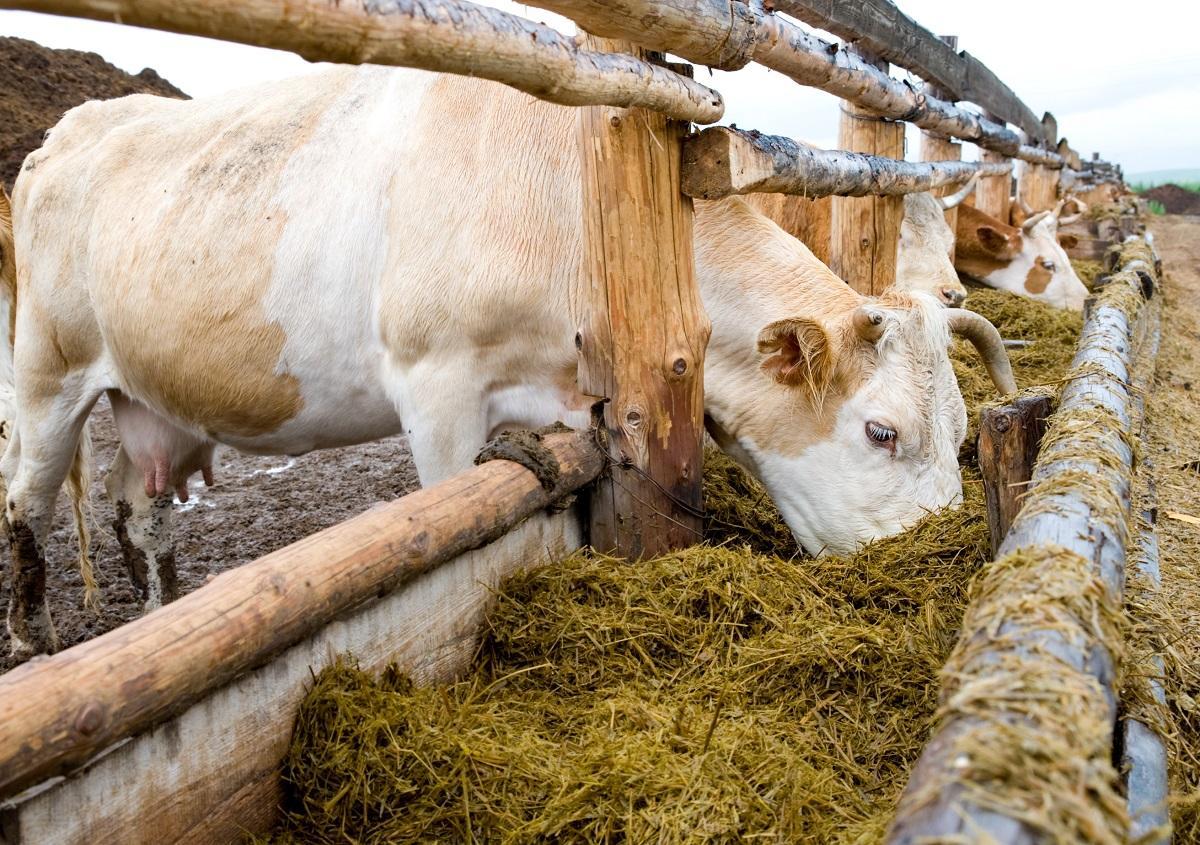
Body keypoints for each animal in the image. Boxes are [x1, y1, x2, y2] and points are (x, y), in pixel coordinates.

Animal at [0, 67, 1017, 662]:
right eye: (881, 430)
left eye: (963, 429)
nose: (938, 559)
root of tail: (65, 135)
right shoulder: (435, 381)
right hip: (48, 376)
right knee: (27, 503)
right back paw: (38, 638)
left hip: (149, 400)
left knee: (141, 515)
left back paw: (157, 616)